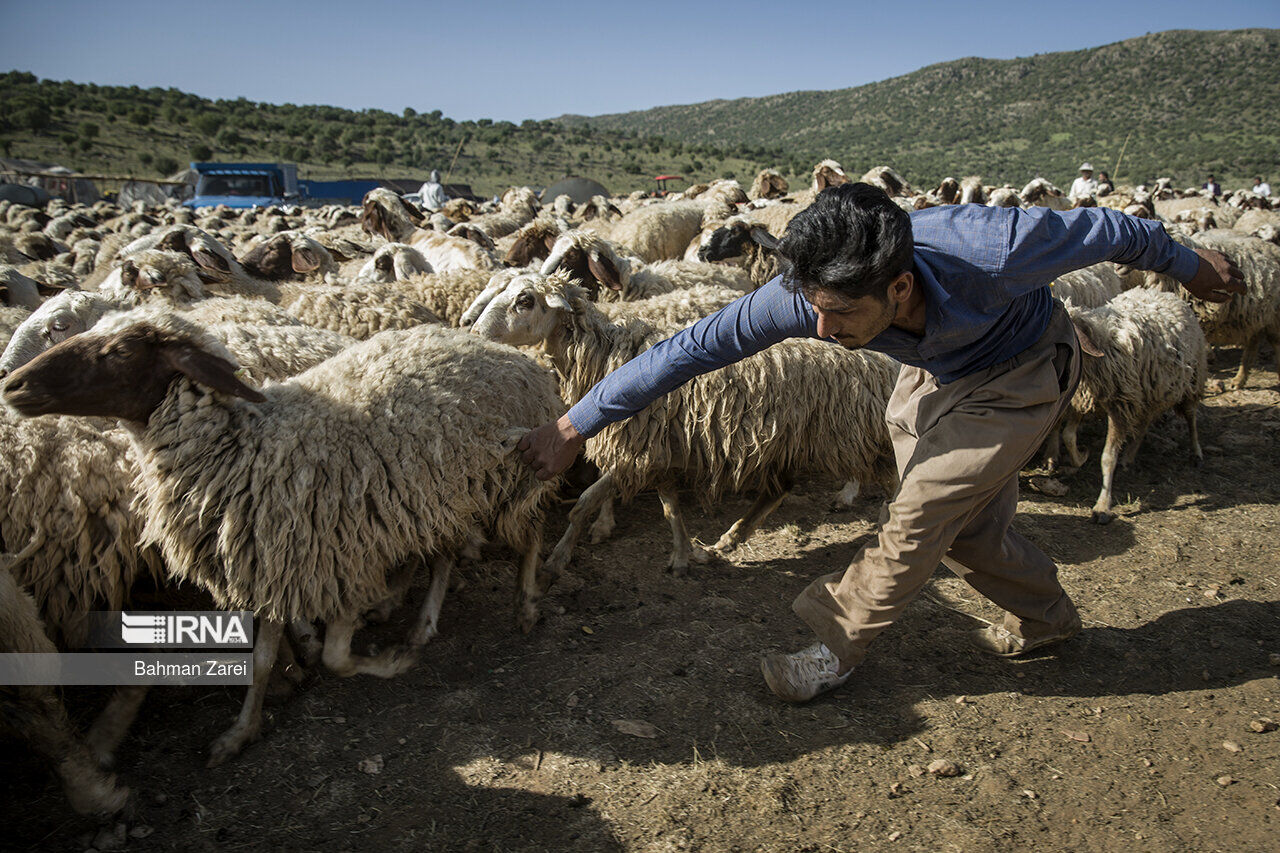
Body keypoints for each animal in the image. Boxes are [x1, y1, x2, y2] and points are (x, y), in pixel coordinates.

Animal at [5, 320, 563, 763]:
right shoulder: (270, 564)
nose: (13, 384)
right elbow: (262, 661)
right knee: (444, 553)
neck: (243, 446)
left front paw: (388, 664)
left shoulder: (340, 559)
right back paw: (420, 622)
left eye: (119, 351)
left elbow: (336, 658)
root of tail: (508, 353)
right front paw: (240, 733)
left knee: (531, 532)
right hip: (442, 492)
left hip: (509, 472)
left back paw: (526, 603)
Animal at [1054, 289, 1203, 522]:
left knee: (1191, 417)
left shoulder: (1119, 407)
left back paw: (1196, 452)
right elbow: (1069, 436)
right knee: (1144, 423)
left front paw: (1102, 506)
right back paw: (1129, 456)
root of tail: (1168, 294)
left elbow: (1107, 457)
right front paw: (1081, 457)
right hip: (1149, 393)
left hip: (1192, 380)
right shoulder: (1083, 399)